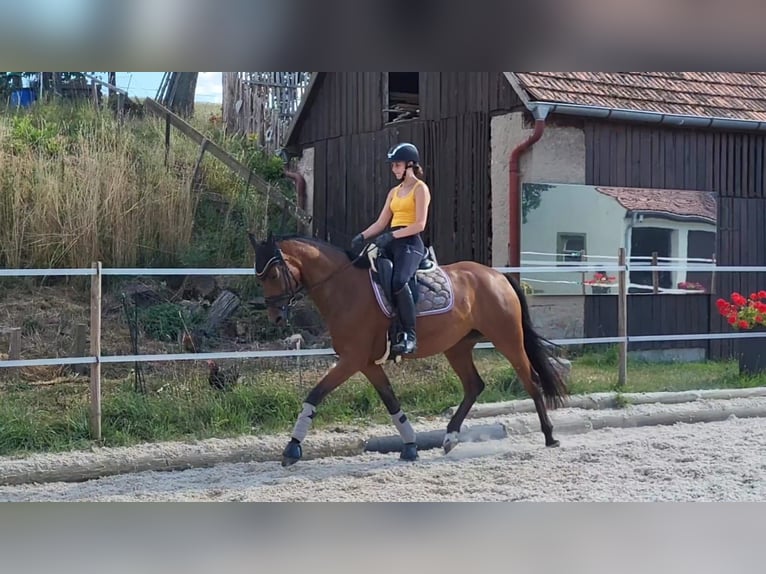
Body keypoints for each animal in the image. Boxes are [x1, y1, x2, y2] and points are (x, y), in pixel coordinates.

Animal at [248, 233, 568, 468]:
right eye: (259, 276)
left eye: (273, 274)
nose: (275, 317)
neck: (344, 287)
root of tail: (497, 276)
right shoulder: (367, 363)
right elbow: (391, 402)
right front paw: (411, 446)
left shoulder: (352, 359)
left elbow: (315, 394)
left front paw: (292, 449)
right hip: (457, 346)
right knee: (474, 385)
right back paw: (450, 438)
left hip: (507, 338)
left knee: (531, 380)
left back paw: (550, 436)